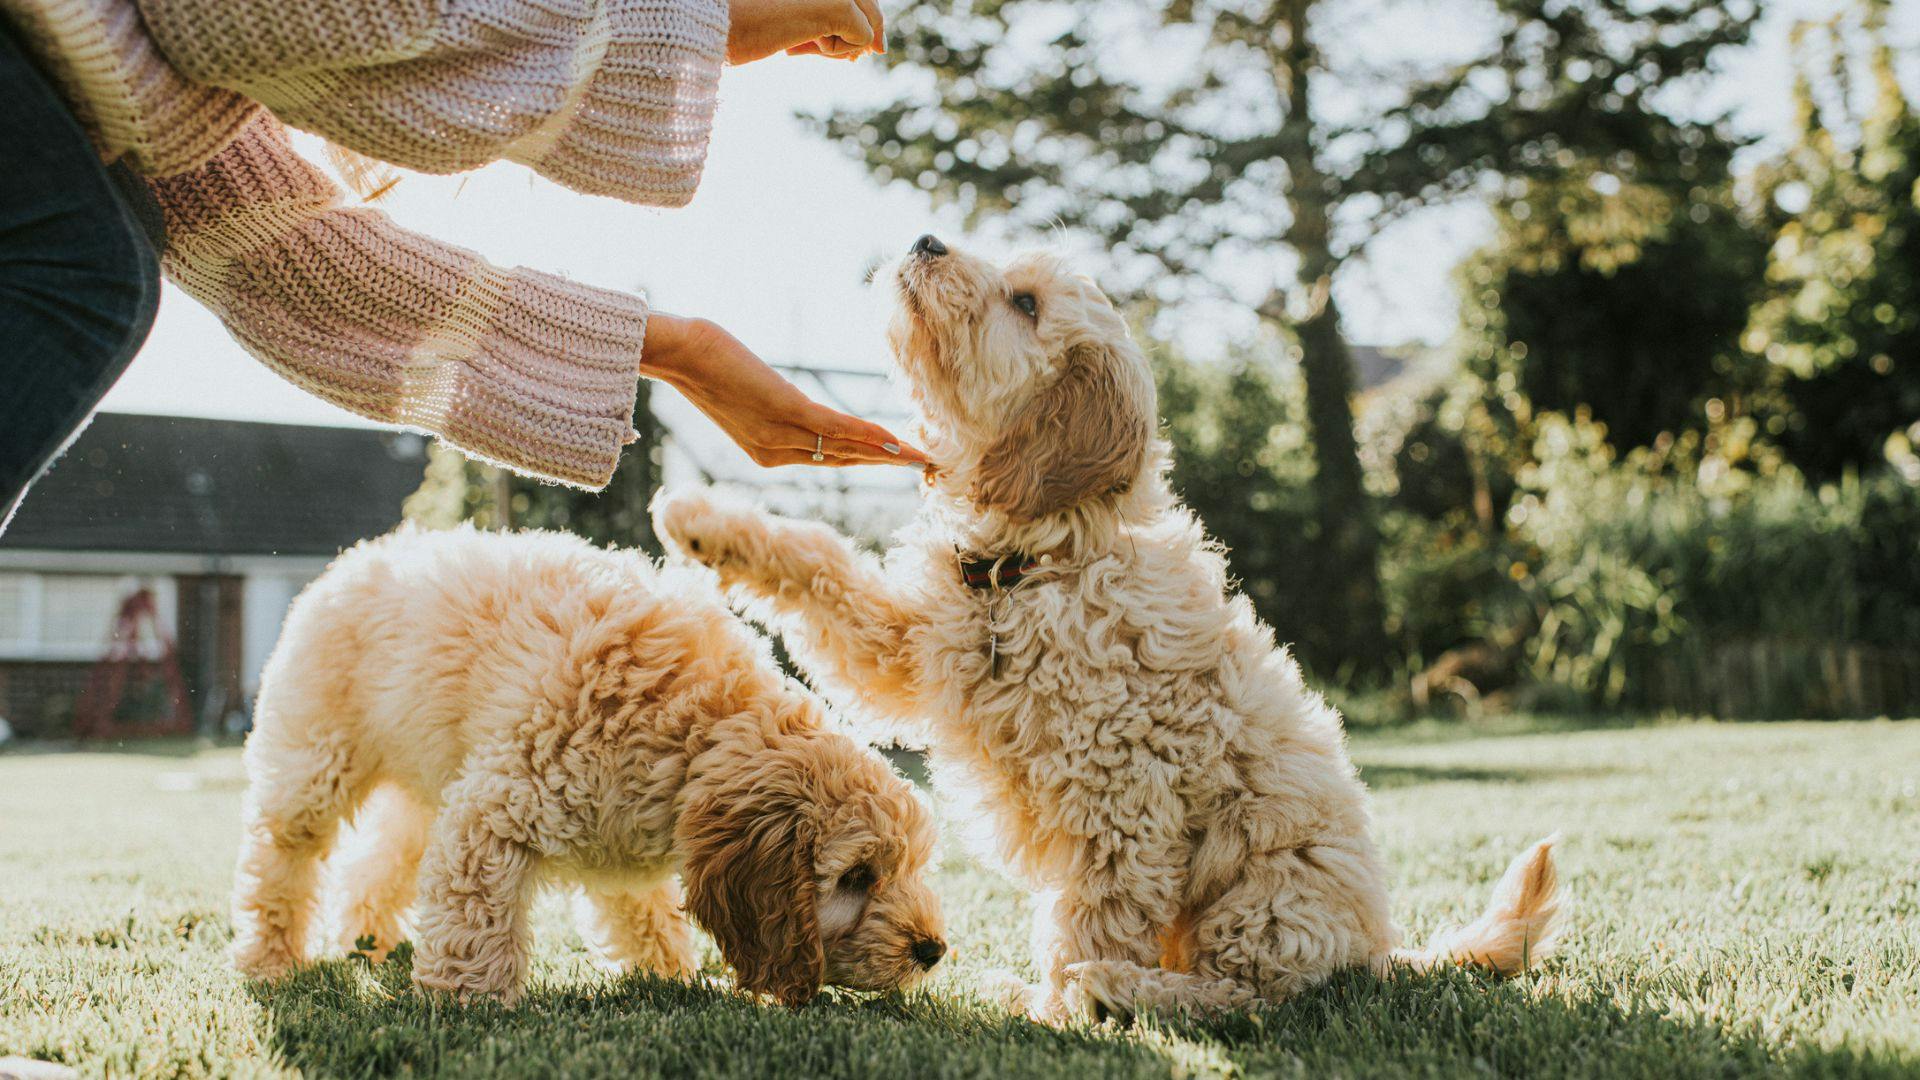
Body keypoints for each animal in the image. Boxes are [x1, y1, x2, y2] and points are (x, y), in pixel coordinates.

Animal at [228, 526, 948, 1006]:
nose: (933, 949)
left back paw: (366, 938)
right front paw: (468, 1005)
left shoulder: (618, 833)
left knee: (380, 861)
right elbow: (475, 922)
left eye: (912, 866)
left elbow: (644, 915)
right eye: (856, 876)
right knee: (280, 859)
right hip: (315, 761)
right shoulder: (494, 812)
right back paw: (270, 958)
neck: (696, 720)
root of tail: (353, 560)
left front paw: (669, 974)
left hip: (424, 781)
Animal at [656, 235, 1559, 1014]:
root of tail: (1375, 947)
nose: (925, 240)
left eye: (1024, 302)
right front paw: (699, 519)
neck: (1034, 567)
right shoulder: (910, 649)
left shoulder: (1121, 804)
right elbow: (823, 563)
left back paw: (1115, 990)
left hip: (1266, 893)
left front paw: (1058, 1013)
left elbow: (1091, 916)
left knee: (1244, 994)